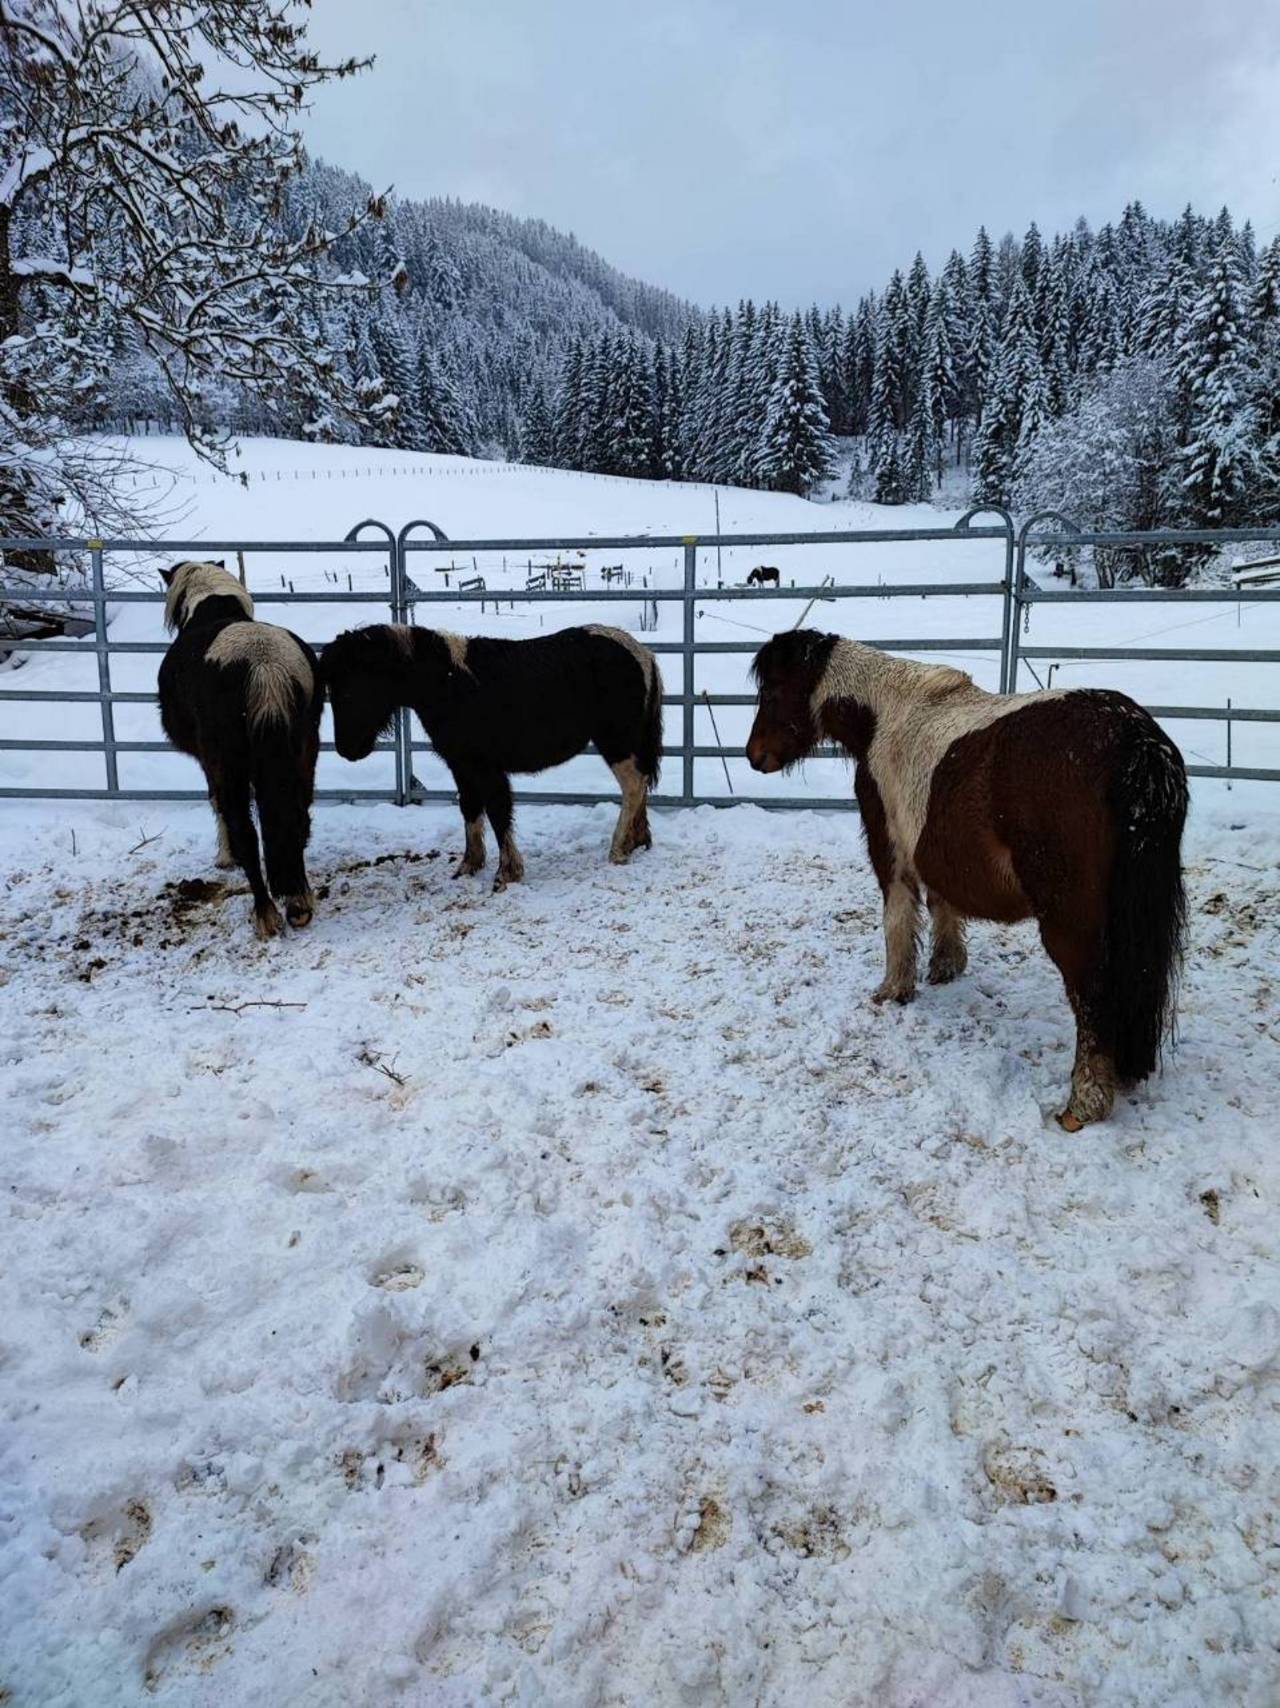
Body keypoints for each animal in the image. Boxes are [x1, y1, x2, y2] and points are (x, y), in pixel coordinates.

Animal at [158, 560, 324, 939]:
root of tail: (264, 665)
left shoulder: (209, 762)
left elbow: (218, 806)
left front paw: (225, 856)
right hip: (304, 752)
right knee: (297, 816)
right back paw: (298, 902)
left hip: (228, 762)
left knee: (245, 830)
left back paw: (266, 914)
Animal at [320, 624, 663, 889]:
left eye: (350, 691)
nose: (347, 750)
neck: (449, 684)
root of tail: (642, 653)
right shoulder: (461, 765)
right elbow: (470, 810)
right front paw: (468, 866)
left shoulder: (487, 768)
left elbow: (498, 812)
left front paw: (506, 873)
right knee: (641, 782)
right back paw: (637, 840)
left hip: (616, 743)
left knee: (633, 785)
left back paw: (618, 849)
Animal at [746, 630, 1188, 1130]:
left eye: (772, 691)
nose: (754, 755)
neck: (883, 716)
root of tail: (1136, 745)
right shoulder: (937, 854)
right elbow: (942, 904)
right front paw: (946, 966)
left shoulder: (890, 852)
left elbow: (897, 919)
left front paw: (893, 990)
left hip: (1070, 922)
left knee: (1092, 993)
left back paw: (1083, 1104)